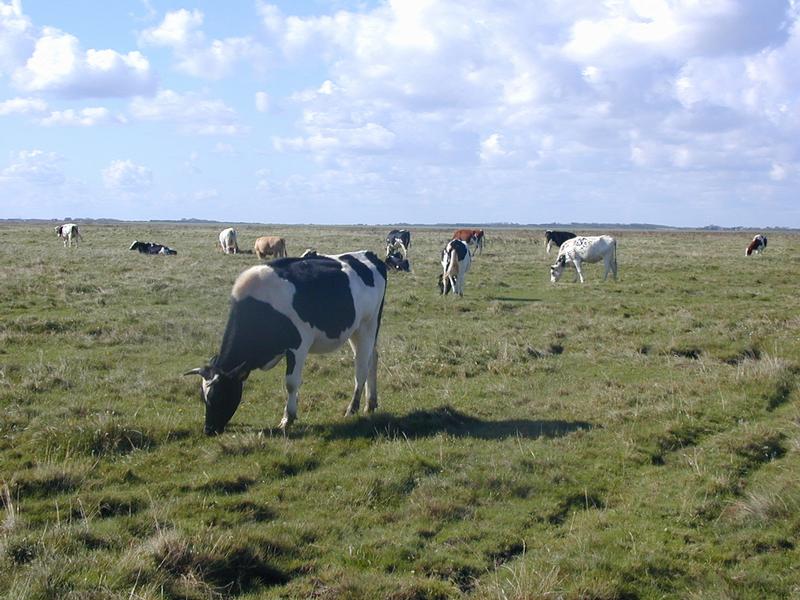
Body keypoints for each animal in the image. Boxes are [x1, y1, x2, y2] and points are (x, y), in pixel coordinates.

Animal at [185, 251, 390, 434]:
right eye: (204, 397)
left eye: (220, 395)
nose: (209, 430)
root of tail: (369, 255)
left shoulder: (298, 346)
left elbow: (291, 383)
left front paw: (287, 419)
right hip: (356, 330)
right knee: (373, 357)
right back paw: (371, 403)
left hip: (368, 324)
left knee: (361, 366)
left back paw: (352, 408)